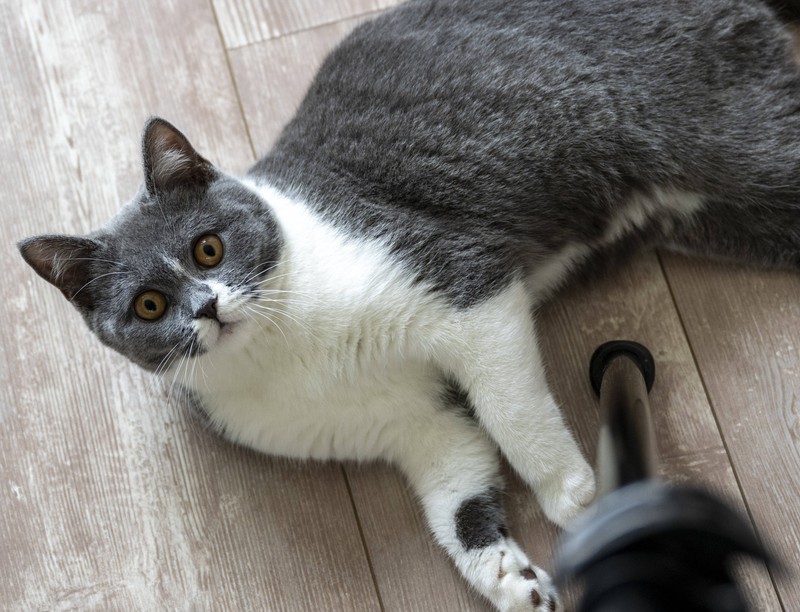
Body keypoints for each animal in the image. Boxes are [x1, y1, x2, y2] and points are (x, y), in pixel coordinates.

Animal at [14, 0, 800, 608]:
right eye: (148, 306)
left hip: (732, 135)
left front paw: (573, 493)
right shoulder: (411, 426)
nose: (206, 308)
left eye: (208, 248)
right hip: (718, 213)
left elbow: (509, 408)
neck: (286, 357)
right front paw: (510, 579)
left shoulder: (461, 284)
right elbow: (457, 492)